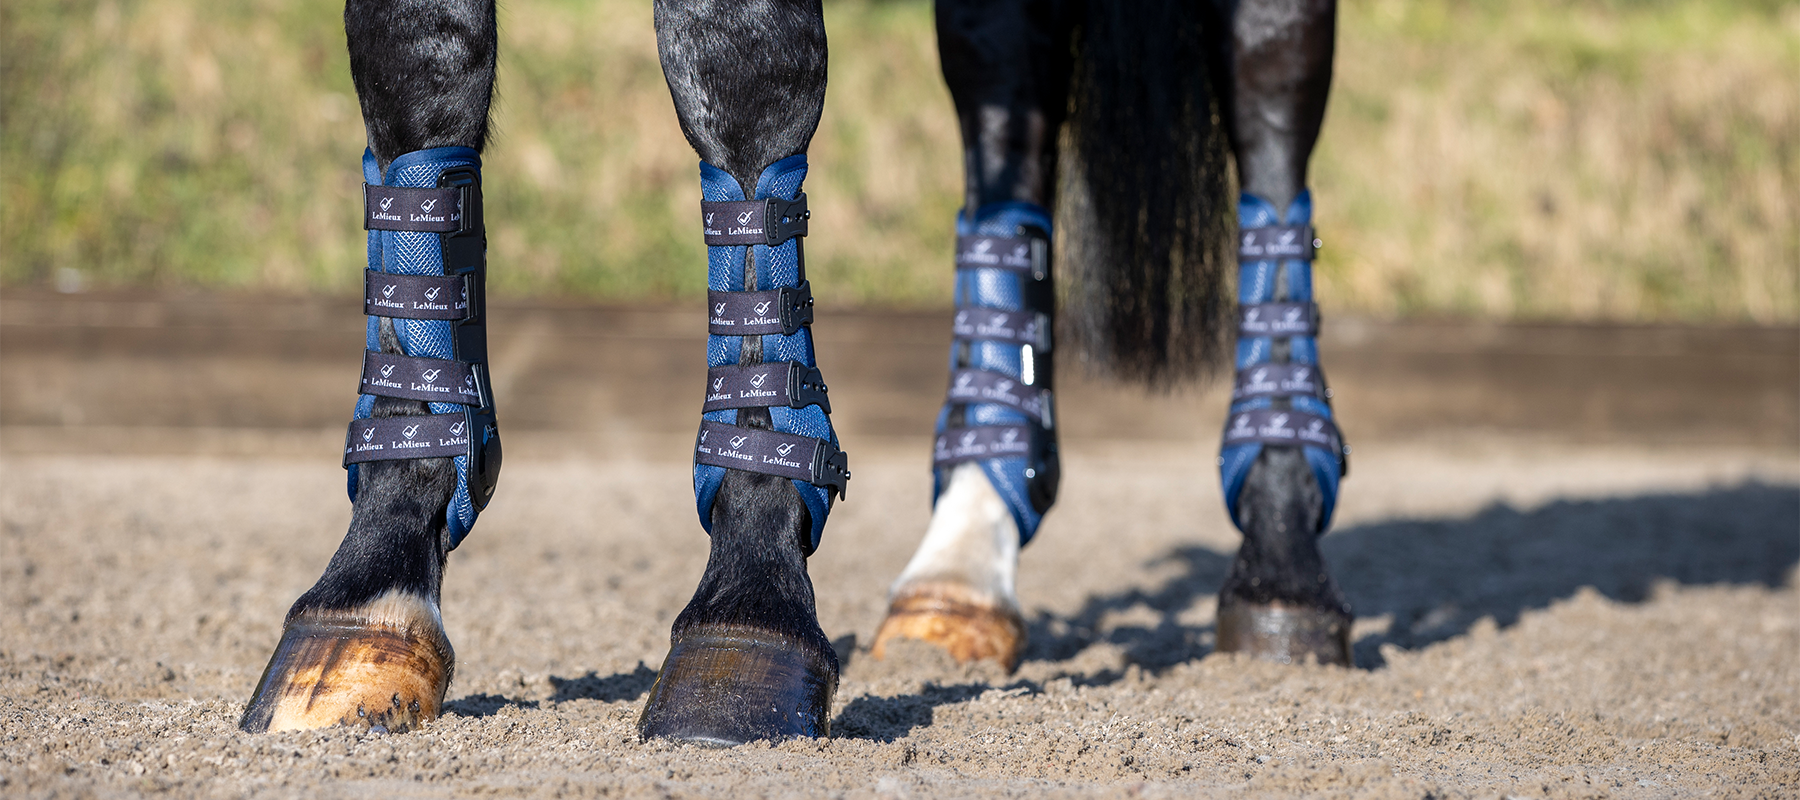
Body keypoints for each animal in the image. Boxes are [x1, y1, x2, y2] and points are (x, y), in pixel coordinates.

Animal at [236, 0, 1350, 747]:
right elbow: (415, 68)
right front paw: (370, 585)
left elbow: (740, 65)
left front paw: (749, 601)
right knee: (1008, 96)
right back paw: (960, 564)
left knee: (1270, 94)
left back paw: (1282, 553)